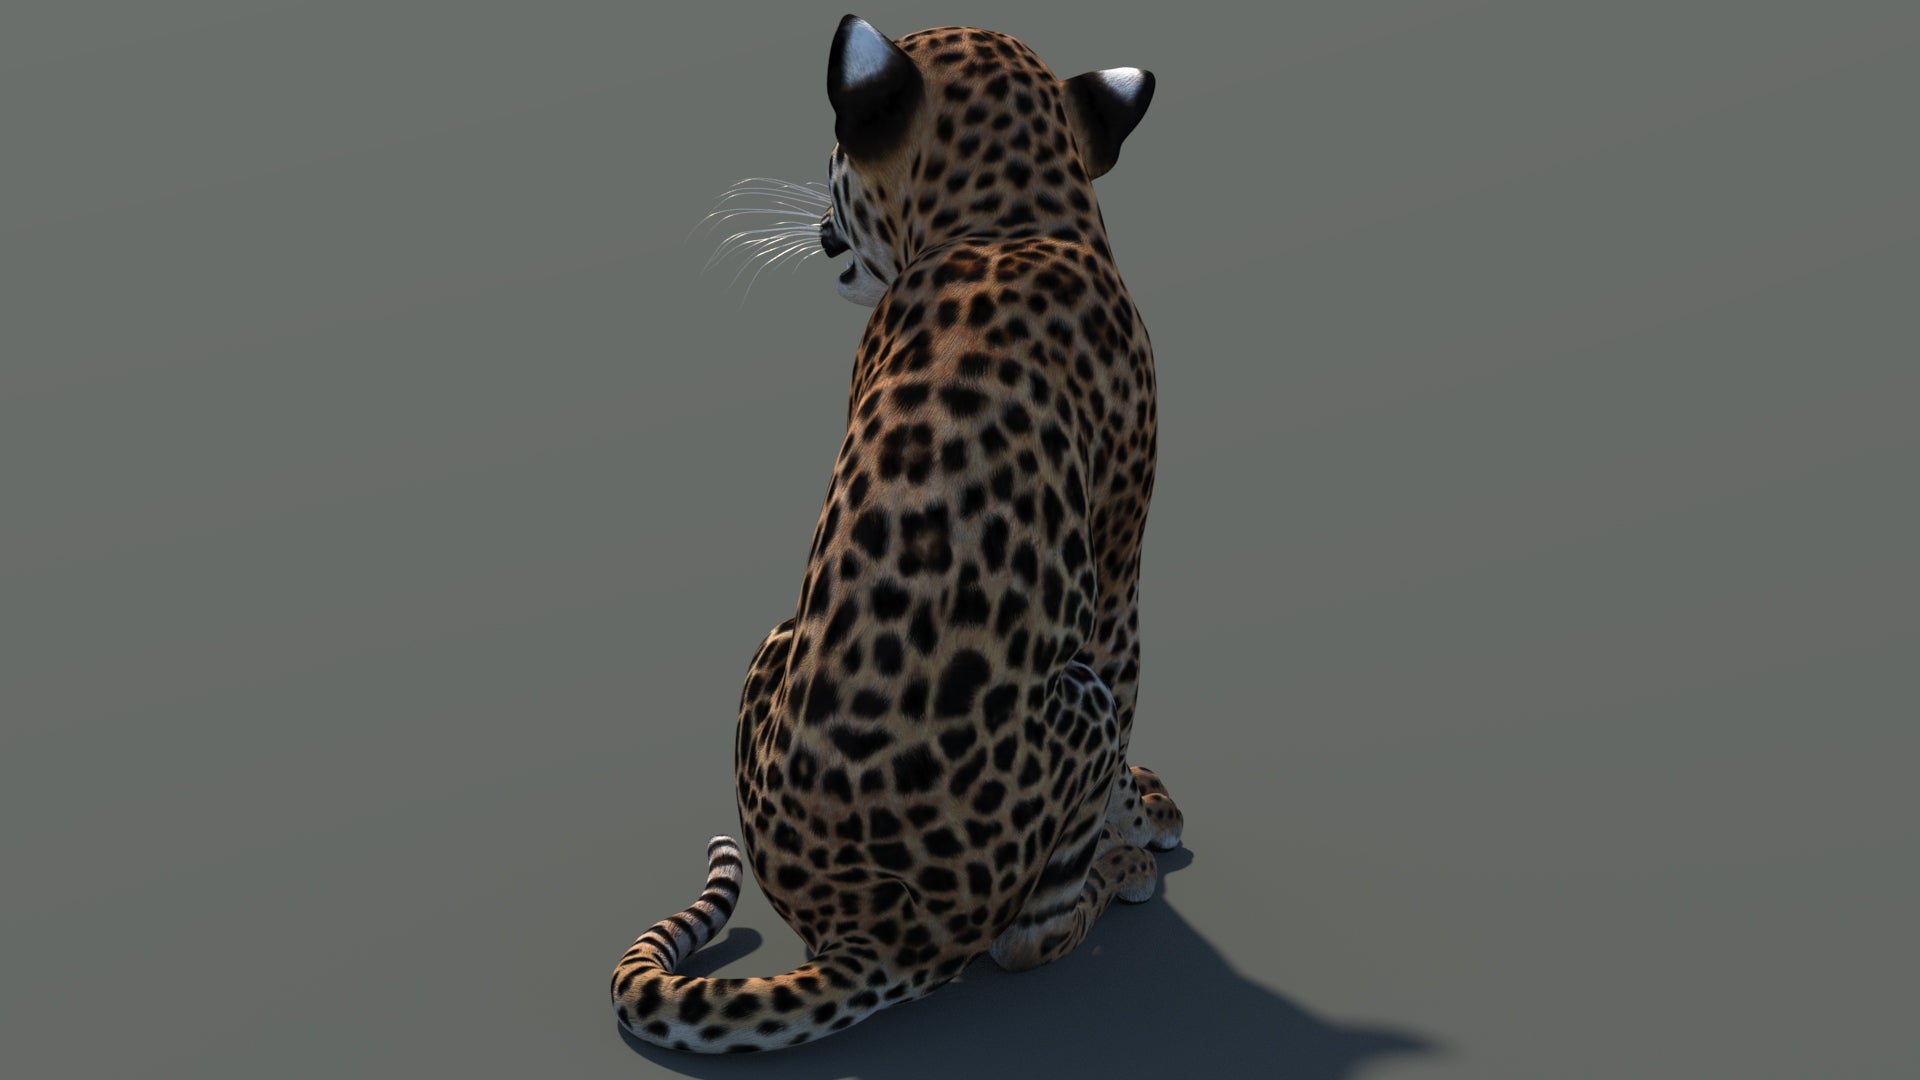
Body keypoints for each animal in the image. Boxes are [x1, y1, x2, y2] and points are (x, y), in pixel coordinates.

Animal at [611, 15, 1181, 1053]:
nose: (821, 226)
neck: (1017, 220)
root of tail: (869, 929)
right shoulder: (1117, 567)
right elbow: (1124, 704)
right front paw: (1139, 817)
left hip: (779, 636)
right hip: (1039, 700)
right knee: (1025, 940)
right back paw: (1112, 879)